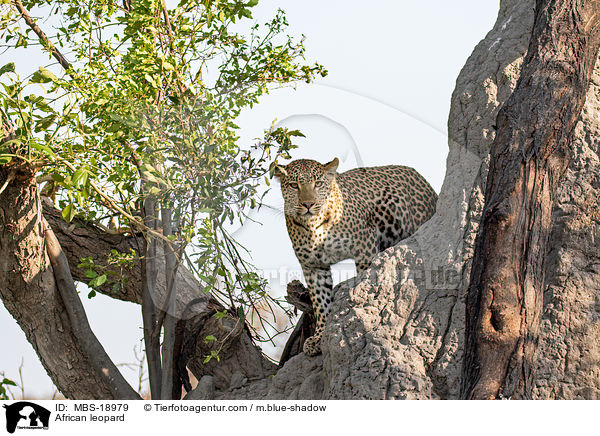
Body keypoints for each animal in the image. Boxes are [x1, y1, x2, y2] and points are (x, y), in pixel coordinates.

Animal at [272, 158, 436, 356]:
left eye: (318, 184)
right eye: (294, 185)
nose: (308, 204)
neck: (313, 226)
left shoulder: (364, 246)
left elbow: (366, 281)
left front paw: (363, 316)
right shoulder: (313, 266)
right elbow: (321, 303)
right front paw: (319, 337)